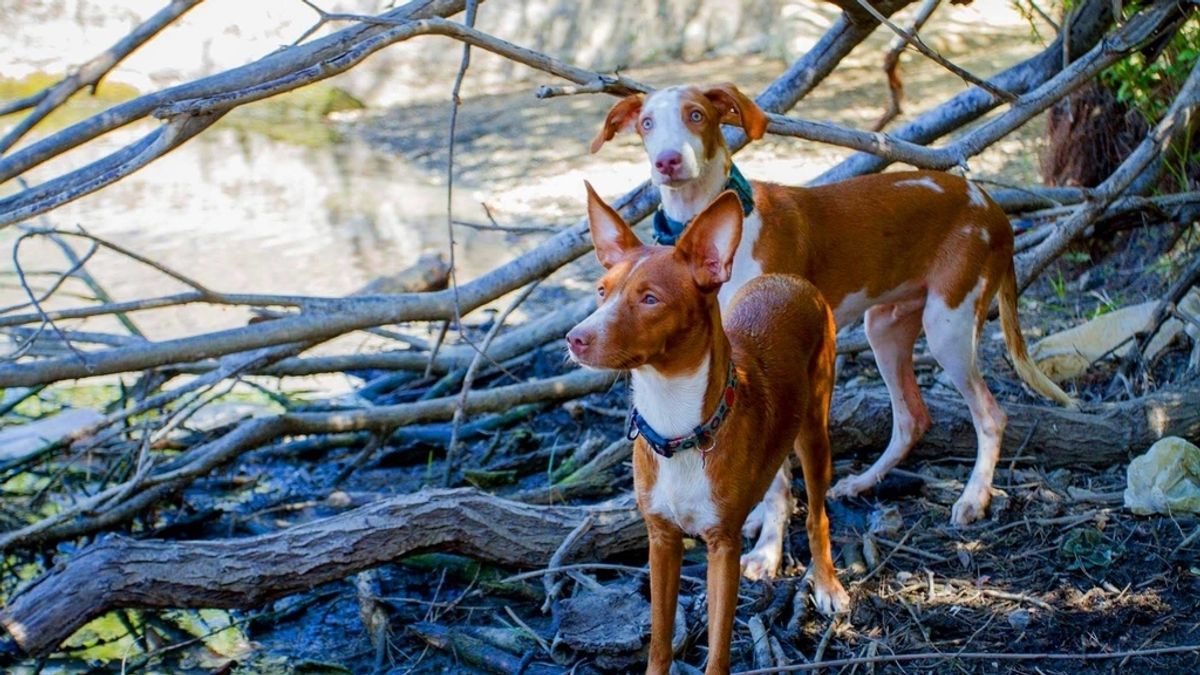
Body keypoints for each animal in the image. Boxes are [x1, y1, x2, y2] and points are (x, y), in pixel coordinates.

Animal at [566, 183, 849, 672]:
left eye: (650, 299)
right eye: (601, 292)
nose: (575, 338)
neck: (676, 428)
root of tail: (787, 280)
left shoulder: (722, 547)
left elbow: (718, 649)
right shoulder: (661, 539)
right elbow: (660, 639)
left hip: (815, 430)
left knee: (817, 514)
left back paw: (827, 582)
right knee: (781, 488)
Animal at [595, 81, 1075, 578]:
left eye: (696, 115)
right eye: (647, 123)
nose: (668, 161)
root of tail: (993, 206)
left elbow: (779, 479)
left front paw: (767, 552)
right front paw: (760, 522)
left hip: (948, 327)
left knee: (991, 415)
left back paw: (973, 497)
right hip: (884, 327)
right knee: (912, 417)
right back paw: (863, 482)